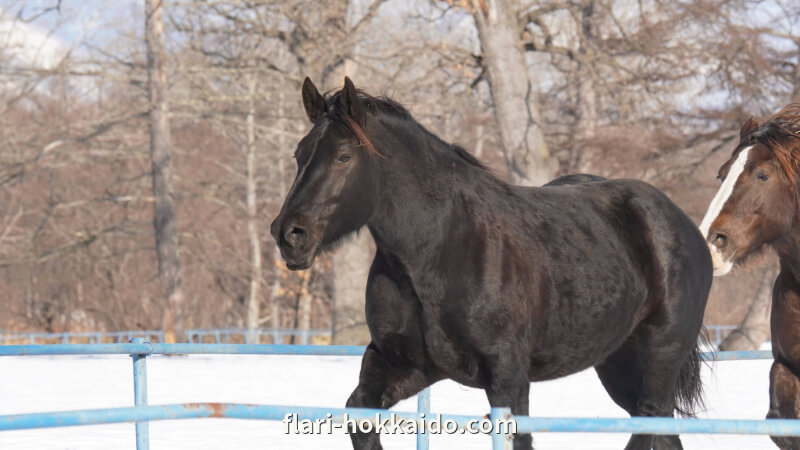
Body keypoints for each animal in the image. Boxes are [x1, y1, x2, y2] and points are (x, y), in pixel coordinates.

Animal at [270, 78, 712, 450]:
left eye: (344, 156)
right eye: (299, 154)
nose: (288, 234)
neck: (440, 251)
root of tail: (685, 226)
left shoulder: (508, 379)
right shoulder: (404, 365)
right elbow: (360, 418)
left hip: (659, 358)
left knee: (650, 425)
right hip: (618, 366)